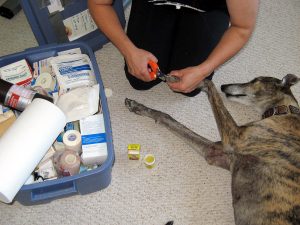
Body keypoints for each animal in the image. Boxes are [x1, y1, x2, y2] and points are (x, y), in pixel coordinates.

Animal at [123, 74, 300, 225]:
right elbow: (168, 118)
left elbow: (209, 83)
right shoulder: (215, 152)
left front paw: (181, 79)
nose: (224, 86)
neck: (284, 111)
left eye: (255, 80)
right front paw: (138, 106)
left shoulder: (235, 136)